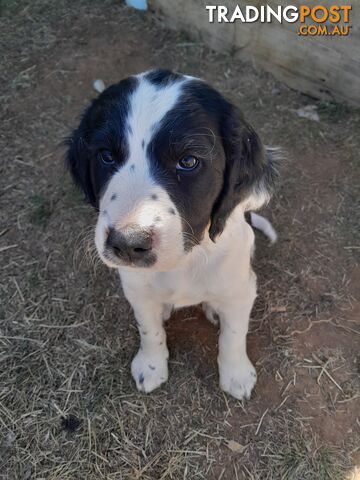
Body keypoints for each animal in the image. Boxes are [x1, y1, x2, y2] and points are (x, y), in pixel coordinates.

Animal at [66, 68, 278, 402]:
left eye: (188, 161)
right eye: (106, 156)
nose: (128, 244)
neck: (185, 260)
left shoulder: (242, 289)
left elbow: (234, 334)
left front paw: (236, 374)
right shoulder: (136, 288)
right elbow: (148, 329)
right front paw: (151, 366)